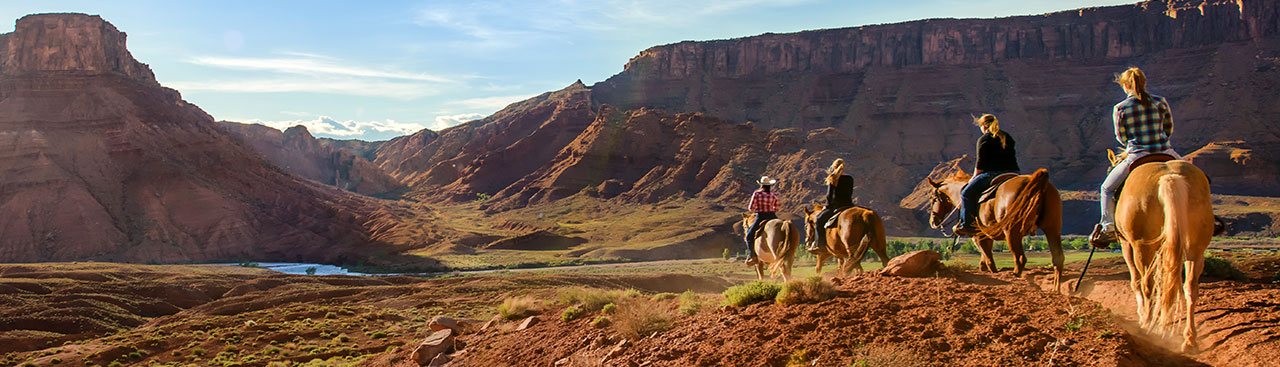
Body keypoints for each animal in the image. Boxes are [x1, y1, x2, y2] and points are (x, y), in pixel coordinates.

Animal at [926, 168, 1064, 291]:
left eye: (932, 199)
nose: (932, 222)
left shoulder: (978, 237)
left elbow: (990, 262)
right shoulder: (987, 237)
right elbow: (984, 262)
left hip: (1012, 232)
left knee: (1020, 259)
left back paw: (1017, 278)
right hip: (1052, 229)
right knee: (1058, 259)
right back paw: (1055, 289)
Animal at [1105, 150, 1213, 352]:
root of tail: (1169, 177)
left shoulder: (1126, 243)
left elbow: (1136, 281)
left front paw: (1143, 314)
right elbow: (1165, 279)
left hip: (1141, 245)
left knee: (1146, 283)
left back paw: (1147, 324)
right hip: (1195, 248)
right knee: (1190, 287)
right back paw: (1189, 339)